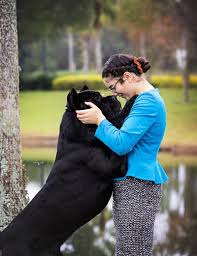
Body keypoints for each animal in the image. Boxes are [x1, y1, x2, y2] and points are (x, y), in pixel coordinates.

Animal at [0, 86, 137, 256]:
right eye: (96, 99)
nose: (113, 97)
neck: (80, 132)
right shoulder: (115, 165)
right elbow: (118, 124)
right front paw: (132, 102)